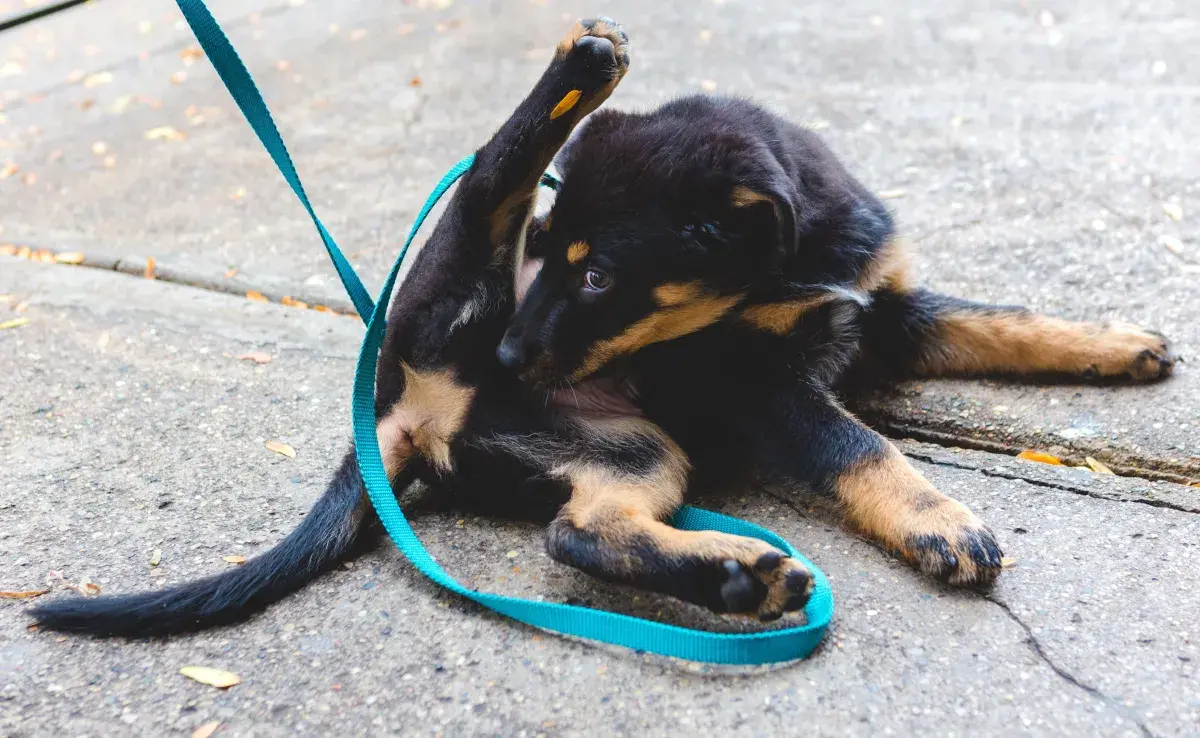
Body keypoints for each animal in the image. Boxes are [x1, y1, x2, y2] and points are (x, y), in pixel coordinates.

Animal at [501, 93, 1176, 588]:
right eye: (541, 246)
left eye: (596, 276)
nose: (503, 356)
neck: (796, 263)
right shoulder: (755, 383)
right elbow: (857, 445)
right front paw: (939, 523)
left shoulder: (885, 309)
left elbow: (1001, 322)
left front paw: (1115, 344)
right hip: (631, 439)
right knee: (577, 534)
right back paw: (745, 573)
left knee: (583, 527)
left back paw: (741, 576)